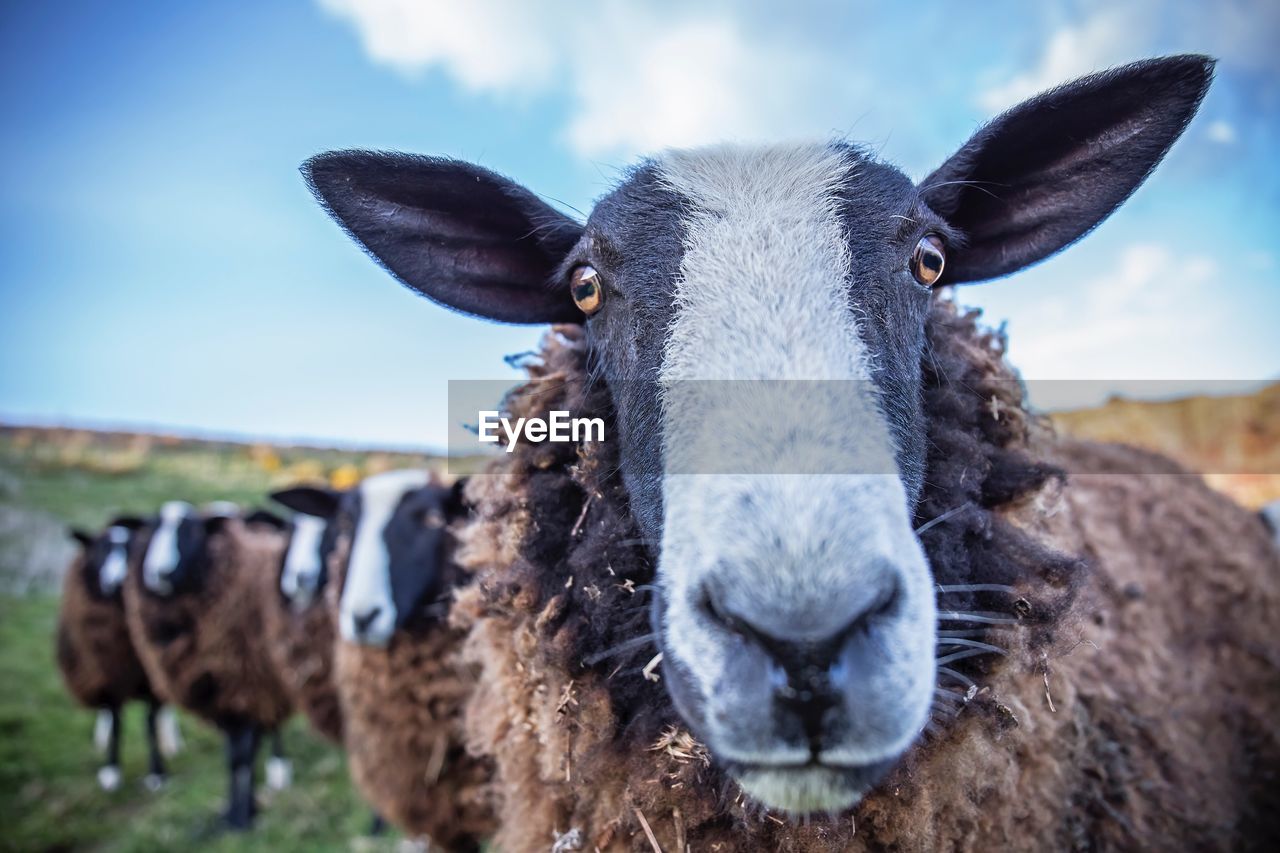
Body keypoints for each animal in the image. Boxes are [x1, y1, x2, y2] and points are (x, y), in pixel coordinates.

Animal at [123, 499, 293, 824]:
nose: (159, 574)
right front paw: (234, 810)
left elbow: (243, 754)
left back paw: (279, 770)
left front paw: (243, 817)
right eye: (151, 529)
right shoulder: (219, 695)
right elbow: (233, 756)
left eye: (191, 531)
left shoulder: (251, 686)